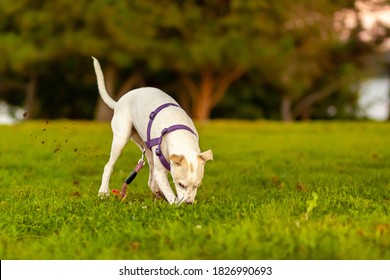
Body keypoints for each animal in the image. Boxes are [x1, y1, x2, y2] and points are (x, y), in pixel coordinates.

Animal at [92, 57, 213, 206]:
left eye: (197, 185)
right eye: (180, 184)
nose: (189, 203)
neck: (180, 134)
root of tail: (119, 101)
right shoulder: (160, 173)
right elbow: (171, 195)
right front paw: (175, 204)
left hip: (146, 148)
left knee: (151, 179)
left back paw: (157, 193)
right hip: (121, 137)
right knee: (108, 166)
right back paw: (103, 192)